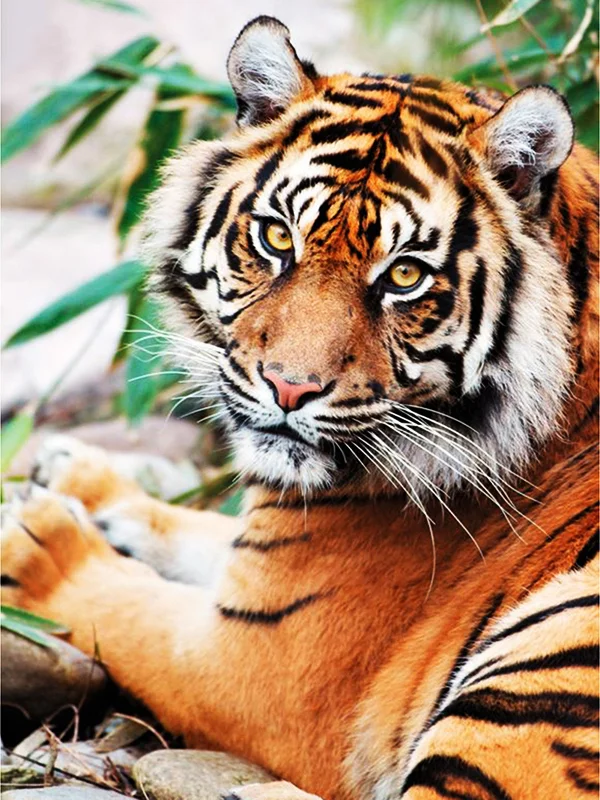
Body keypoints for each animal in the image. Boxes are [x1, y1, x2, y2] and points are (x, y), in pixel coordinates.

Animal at [2, 15, 599, 800]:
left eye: (404, 277)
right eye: (277, 237)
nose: (288, 387)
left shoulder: (253, 661)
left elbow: (126, 608)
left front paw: (37, 542)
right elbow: (202, 532)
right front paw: (80, 477)